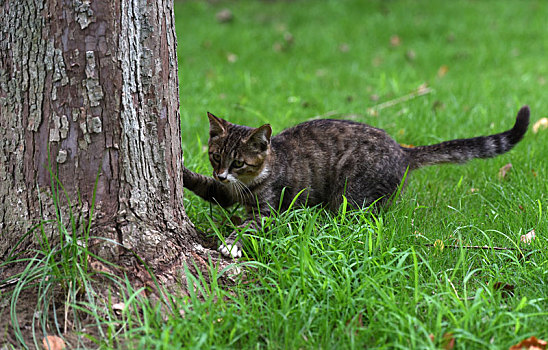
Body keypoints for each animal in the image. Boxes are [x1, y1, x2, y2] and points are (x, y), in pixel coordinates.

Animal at [184, 106, 532, 258]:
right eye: (215, 157)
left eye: (238, 162)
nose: (221, 173)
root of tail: (403, 151)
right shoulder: (223, 192)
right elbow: (206, 188)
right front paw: (184, 172)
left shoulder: (268, 209)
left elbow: (250, 225)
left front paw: (231, 243)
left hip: (351, 192)